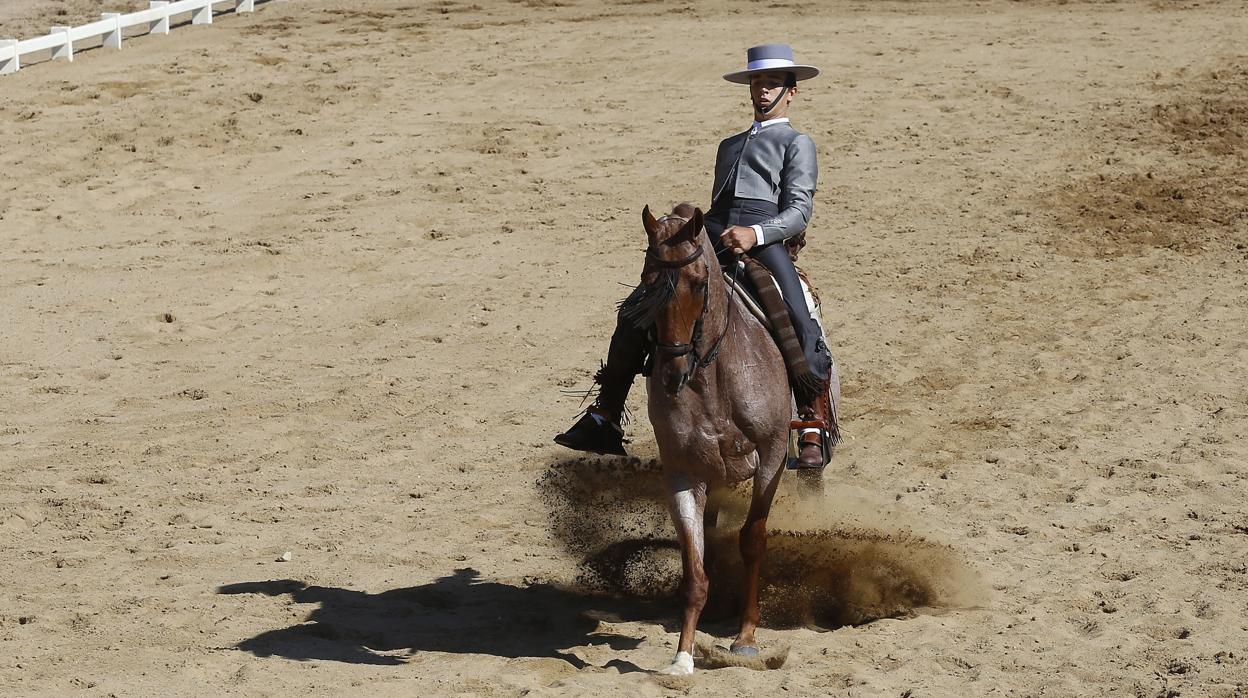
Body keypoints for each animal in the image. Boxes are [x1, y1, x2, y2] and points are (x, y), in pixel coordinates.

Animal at [628, 203, 793, 679]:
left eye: (699, 282)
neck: (713, 381)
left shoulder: (772, 456)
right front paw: (682, 656)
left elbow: (753, 540)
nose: (671, 373)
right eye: (646, 280)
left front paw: (746, 637)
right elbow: (695, 568)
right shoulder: (683, 473)